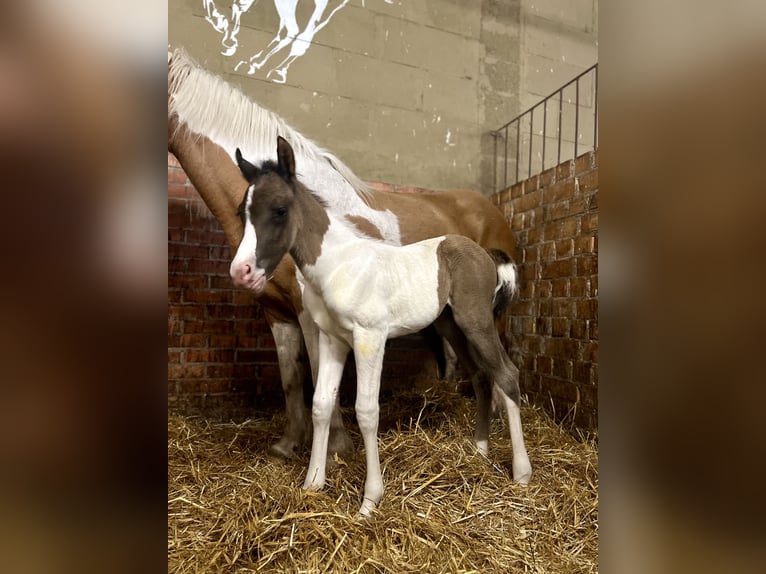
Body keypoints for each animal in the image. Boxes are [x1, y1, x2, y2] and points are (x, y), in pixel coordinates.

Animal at [167, 47, 518, 462]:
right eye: (242, 210)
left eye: (279, 210)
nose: (243, 270)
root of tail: (492, 209)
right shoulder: (277, 313)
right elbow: (291, 379)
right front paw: (290, 444)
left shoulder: (311, 312)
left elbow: (321, 376)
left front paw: (336, 446)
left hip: (487, 312)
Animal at [232, 137, 531, 517]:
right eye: (242, 212)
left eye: (280, 210)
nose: (241, 272)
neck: (337, 265)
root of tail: (485, 254)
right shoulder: (332, 339)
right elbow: (321, 405)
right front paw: (313, 483)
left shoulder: (369, 337)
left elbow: (366, 410)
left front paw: (370, 501)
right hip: (452, 325)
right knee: (481, 376)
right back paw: (479, 451)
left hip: (475, 320)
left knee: (506, 374)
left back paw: (522, 472)